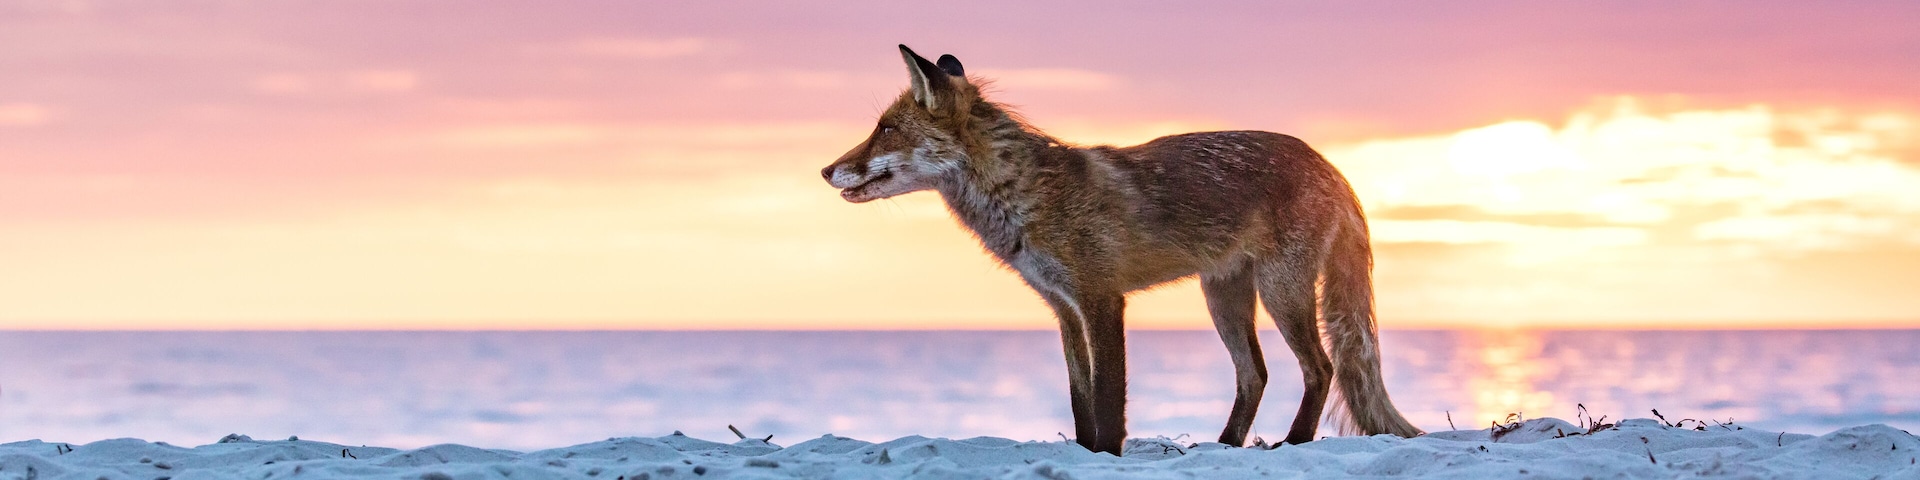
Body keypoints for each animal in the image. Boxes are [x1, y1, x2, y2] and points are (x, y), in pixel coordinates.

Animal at [820, 45, 1424, 456]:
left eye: (886, 129)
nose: (826, 170)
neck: (1028, 198)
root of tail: (1329, 164)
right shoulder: (1063, 308)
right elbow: (1079, 396)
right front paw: (1088, 452)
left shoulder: (1102, 298)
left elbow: (1110, 395)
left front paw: (1108, 454)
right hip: (1224, 298)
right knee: (1256, 375)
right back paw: (1226, 445)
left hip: (1281, 291)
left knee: (1320, 368)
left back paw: (1293, 443)